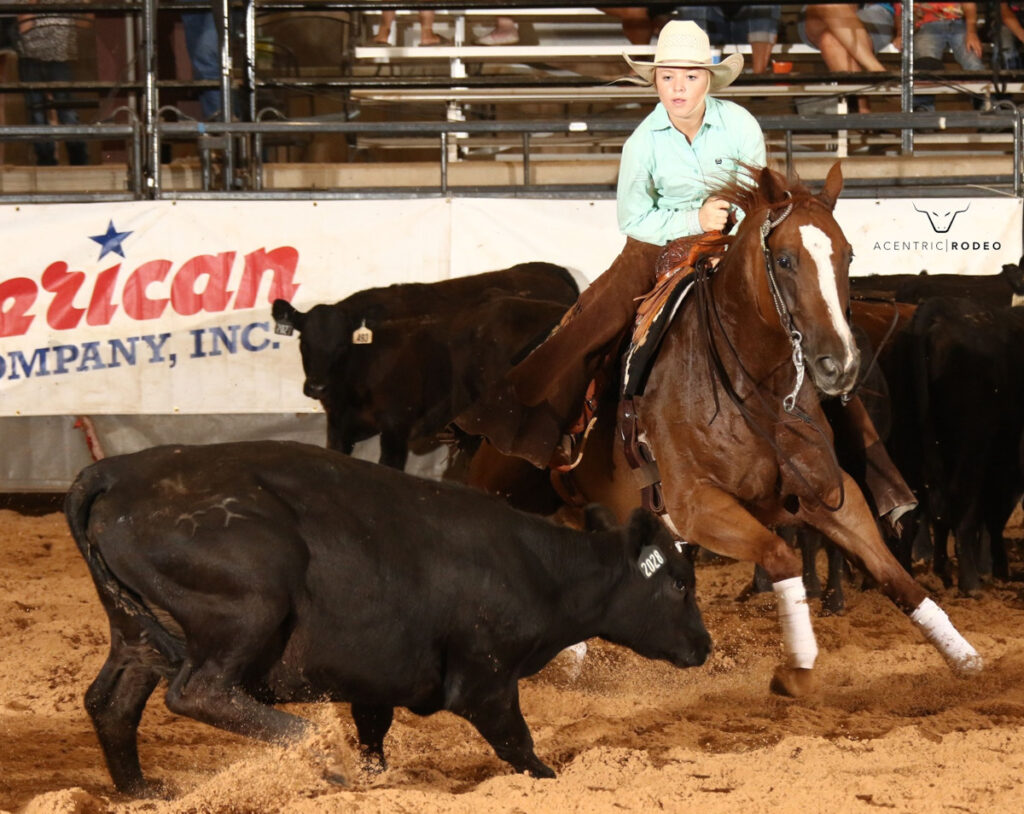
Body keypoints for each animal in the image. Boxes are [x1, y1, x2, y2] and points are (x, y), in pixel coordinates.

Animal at [61, 440, 704, 794]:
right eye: (679, 582)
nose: (704, 645)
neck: (541, 569)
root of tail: (115, 472)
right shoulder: (486, 679)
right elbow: (518, 744)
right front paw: (550, 779)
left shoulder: (377, 681)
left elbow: (375, 736)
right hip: (245, 610)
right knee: (199, 692)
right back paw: (315, 747)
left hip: (136, 633)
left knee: (112, 702)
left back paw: (142, 789)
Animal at [272, 261, 581, 464]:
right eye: (303, 342)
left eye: (342, 346)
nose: (317, 387)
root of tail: (549, 270)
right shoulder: (338, 427)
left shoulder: (396, 428)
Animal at [468, 162, 978, 696]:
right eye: (785, 259)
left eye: (848, 254)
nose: (837, 364)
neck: (753, 389)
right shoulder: (698, 506)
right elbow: (781, 556)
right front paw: (798, 665)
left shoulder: (832, 496)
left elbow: (894, 575)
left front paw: (965, 658)